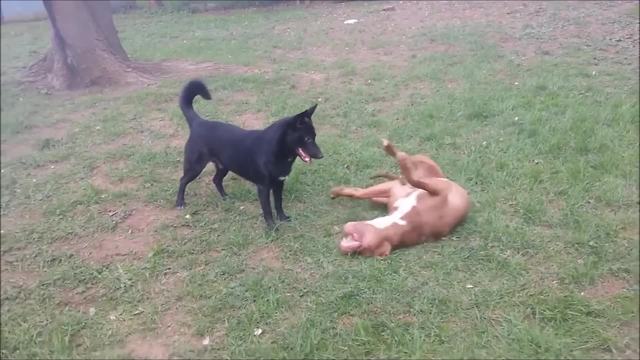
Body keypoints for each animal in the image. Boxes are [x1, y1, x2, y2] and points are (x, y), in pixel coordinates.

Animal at [175, 80, 322, 229]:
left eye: (314, 137)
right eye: (308, 139)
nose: (321, 155)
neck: (277, 150)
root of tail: (198, 122)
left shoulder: (279, 183)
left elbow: (278, 203)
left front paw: (282, 218)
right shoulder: (263, 187)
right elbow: (267, 210)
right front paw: (272, 227)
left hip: (223, 166)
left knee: (216, 180)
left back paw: (225, 197)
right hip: (195, 167)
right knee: (183, 180)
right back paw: (180, 203)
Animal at [330, 139, 470, 258]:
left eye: (362, 251)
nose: (346, 248)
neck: (400, 221)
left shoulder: (439, 191)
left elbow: (414, 179)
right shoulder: (394, 190)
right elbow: (358, 193)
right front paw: (338, 191)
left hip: (420, 162)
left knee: (406, 159)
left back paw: (393, 152)